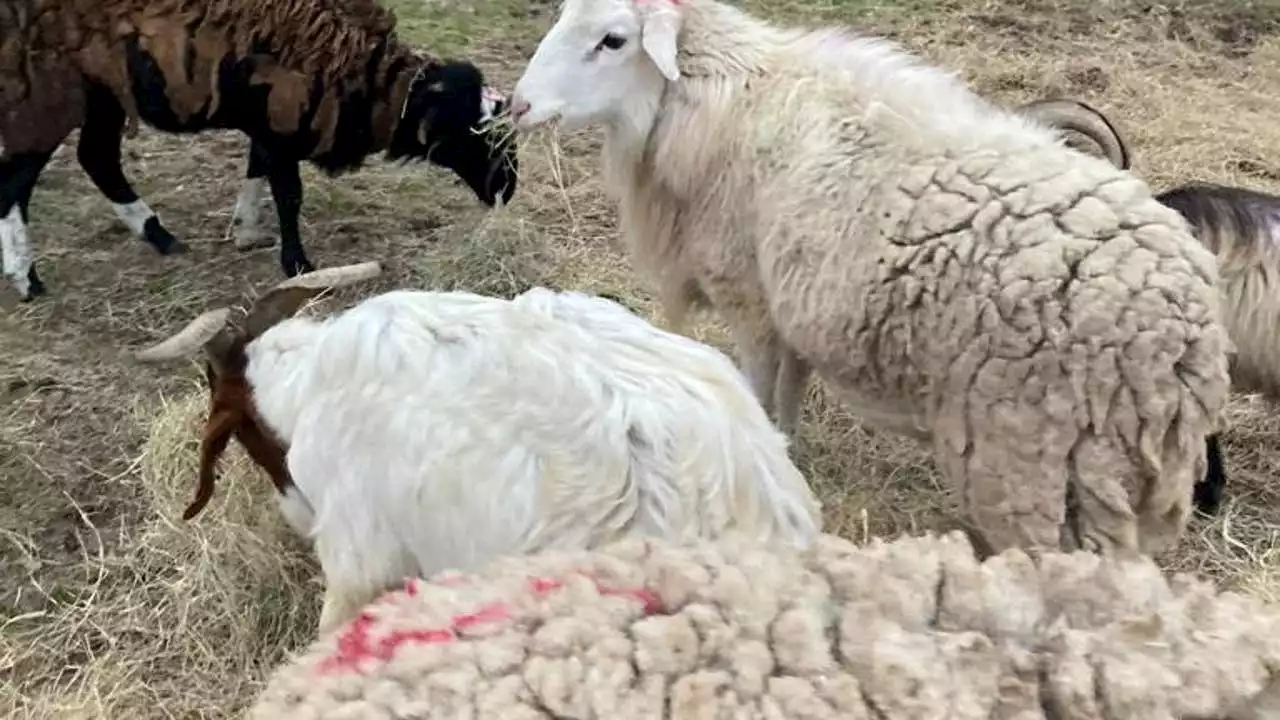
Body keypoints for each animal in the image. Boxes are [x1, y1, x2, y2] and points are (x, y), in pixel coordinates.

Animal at [1, 0, 519, 299]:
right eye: (481, 135)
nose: (507, 190)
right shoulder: (281, 115)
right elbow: (288, 193)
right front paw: (298, 265)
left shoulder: (271, 117)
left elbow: (256, 168)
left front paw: (245, 229)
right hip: (48, 88)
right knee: (18, 179)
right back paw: (26, 277)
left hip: (103, 90)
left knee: (95, 157)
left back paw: (158, 235)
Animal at [504, 0, 1233, 556]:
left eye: (612, 39)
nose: (516, 106)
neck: (722, 98)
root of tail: (1181, 329)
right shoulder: (788, 305)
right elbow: (787, 398)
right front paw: (786, 453)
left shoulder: (751, 299)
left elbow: (759, 390)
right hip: (1115, 471)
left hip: (1028, 450)